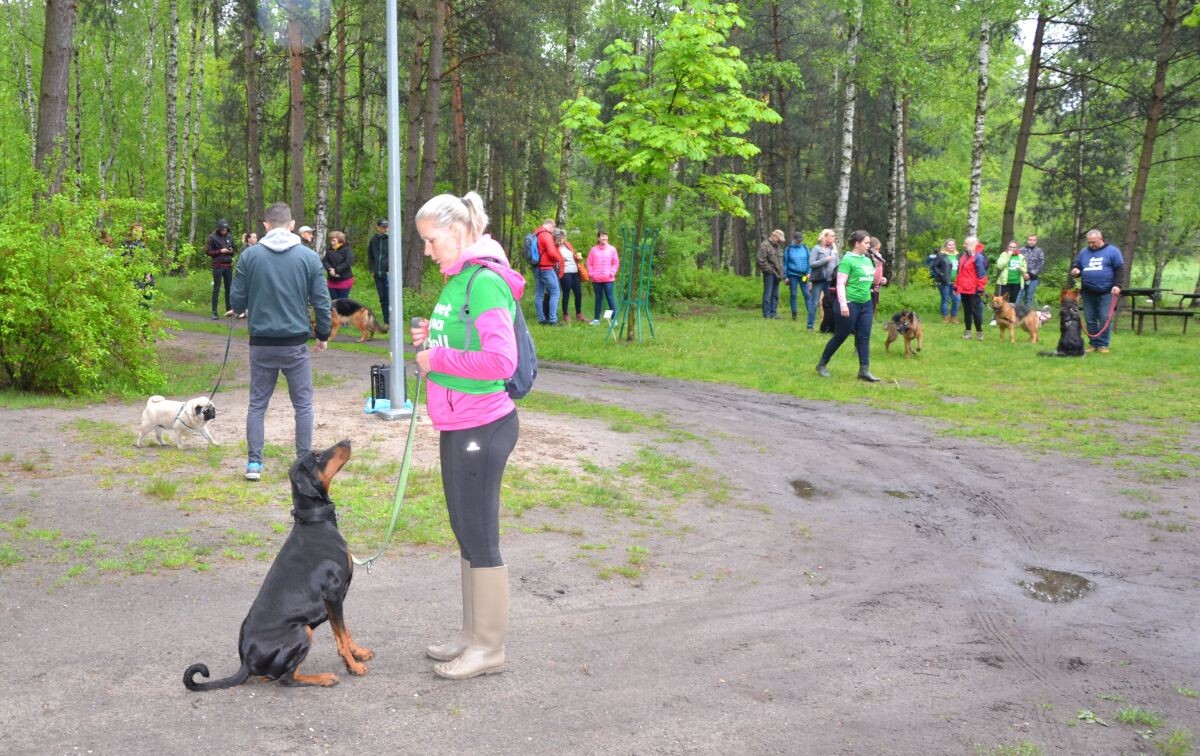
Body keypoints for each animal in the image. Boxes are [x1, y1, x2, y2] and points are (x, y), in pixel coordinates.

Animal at [180, 439, 369, 691]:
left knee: (271, 675)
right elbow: (340, 636)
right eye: (317, 456)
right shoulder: (333, 594)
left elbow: (345, 631)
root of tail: (245, 662)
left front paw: (359, 653)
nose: (347, 440)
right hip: (302, 631)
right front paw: (353, 666)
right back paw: (324, 678)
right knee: (287, 679)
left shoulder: (336, 600)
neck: (315, 523)